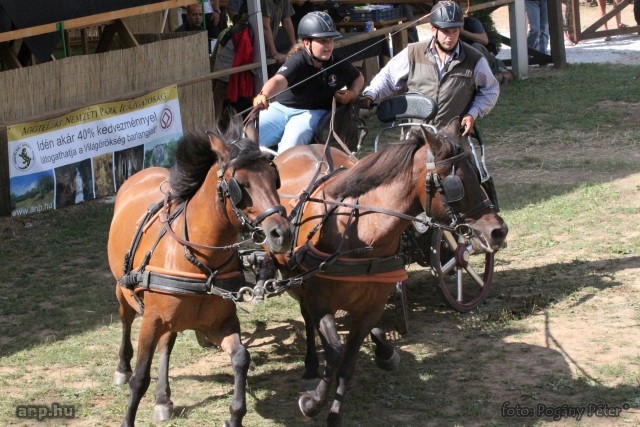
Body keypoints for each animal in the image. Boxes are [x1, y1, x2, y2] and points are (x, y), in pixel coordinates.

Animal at [107, 118, 292, 427]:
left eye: (274, 178)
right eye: (241, 185)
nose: (282, 234)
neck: (202, 264)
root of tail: (143, 173)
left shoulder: (220, 323)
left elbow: (241, 357)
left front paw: (235, 415)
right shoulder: (152, 320)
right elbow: (140, 378)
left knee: (167, 343)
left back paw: (163, 398)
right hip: (123, 290)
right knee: (125, 320)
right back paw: (122, 367)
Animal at [272, 118, 508, 426]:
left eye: (476, 173)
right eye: (454, 182)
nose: (498, 230)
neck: (362, 233)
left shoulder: (371, 306)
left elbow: (347, 363)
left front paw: (334, 413)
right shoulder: (320, 300)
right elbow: (334, 352)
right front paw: (312, 402)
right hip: (293, 276)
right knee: (306, 317)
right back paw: (312, 365)